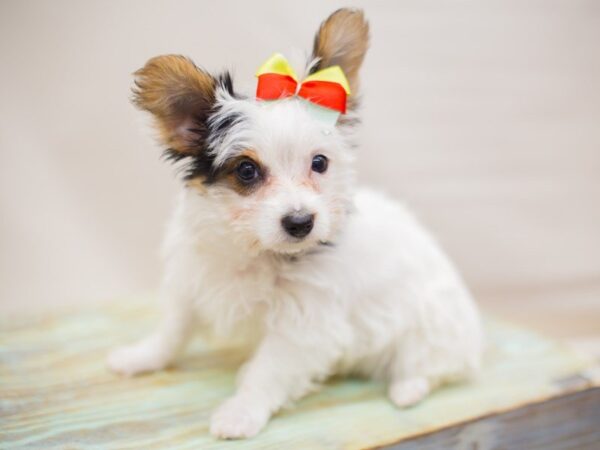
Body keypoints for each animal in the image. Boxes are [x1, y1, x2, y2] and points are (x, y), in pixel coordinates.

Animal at [106, 7, 482, 440]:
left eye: (319, 163)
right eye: (247, 171)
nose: (301, 222)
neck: (253, 251)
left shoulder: (302, 327)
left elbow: (266, 372)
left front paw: (241, 411)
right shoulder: (193, 279)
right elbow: (173, 328)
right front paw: (142, 356)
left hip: (431, 330)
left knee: (429, 366)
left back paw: (406, 389)